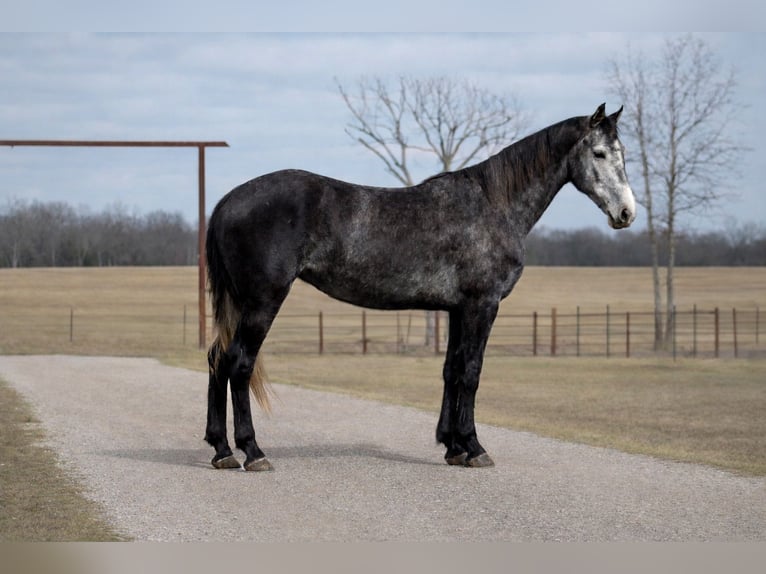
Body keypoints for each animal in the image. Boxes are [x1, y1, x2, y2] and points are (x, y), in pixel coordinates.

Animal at [204, 103, 635, 471]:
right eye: (599, 153)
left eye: (623, 154)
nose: (626, 213)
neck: (494, 204)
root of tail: (228, 201)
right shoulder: (482, 305)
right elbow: (472, 371)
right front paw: (474, 447)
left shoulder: (458, 309)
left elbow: (452, 369)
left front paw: (452, 446)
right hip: (262, 302)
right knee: (239, 362)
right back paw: (253, 451)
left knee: (217, 358)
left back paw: (222, 450)